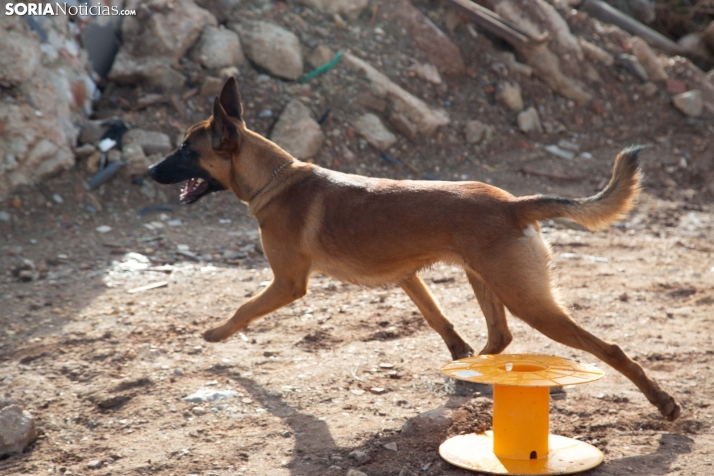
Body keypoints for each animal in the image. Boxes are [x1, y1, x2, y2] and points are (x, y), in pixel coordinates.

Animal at [149, 77, 680, 420]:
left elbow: (243, 308)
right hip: (485, 279)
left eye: (185, 150)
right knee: (500, 336)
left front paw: (216, 334)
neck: (274, 179)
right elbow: (438, 318)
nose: (148, 172)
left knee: (608, 348)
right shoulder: (408, 276)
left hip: (526, 298)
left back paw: (663, 403)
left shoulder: (287, 283)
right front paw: (457, 351)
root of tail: (514, 204)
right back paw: (473, 370)